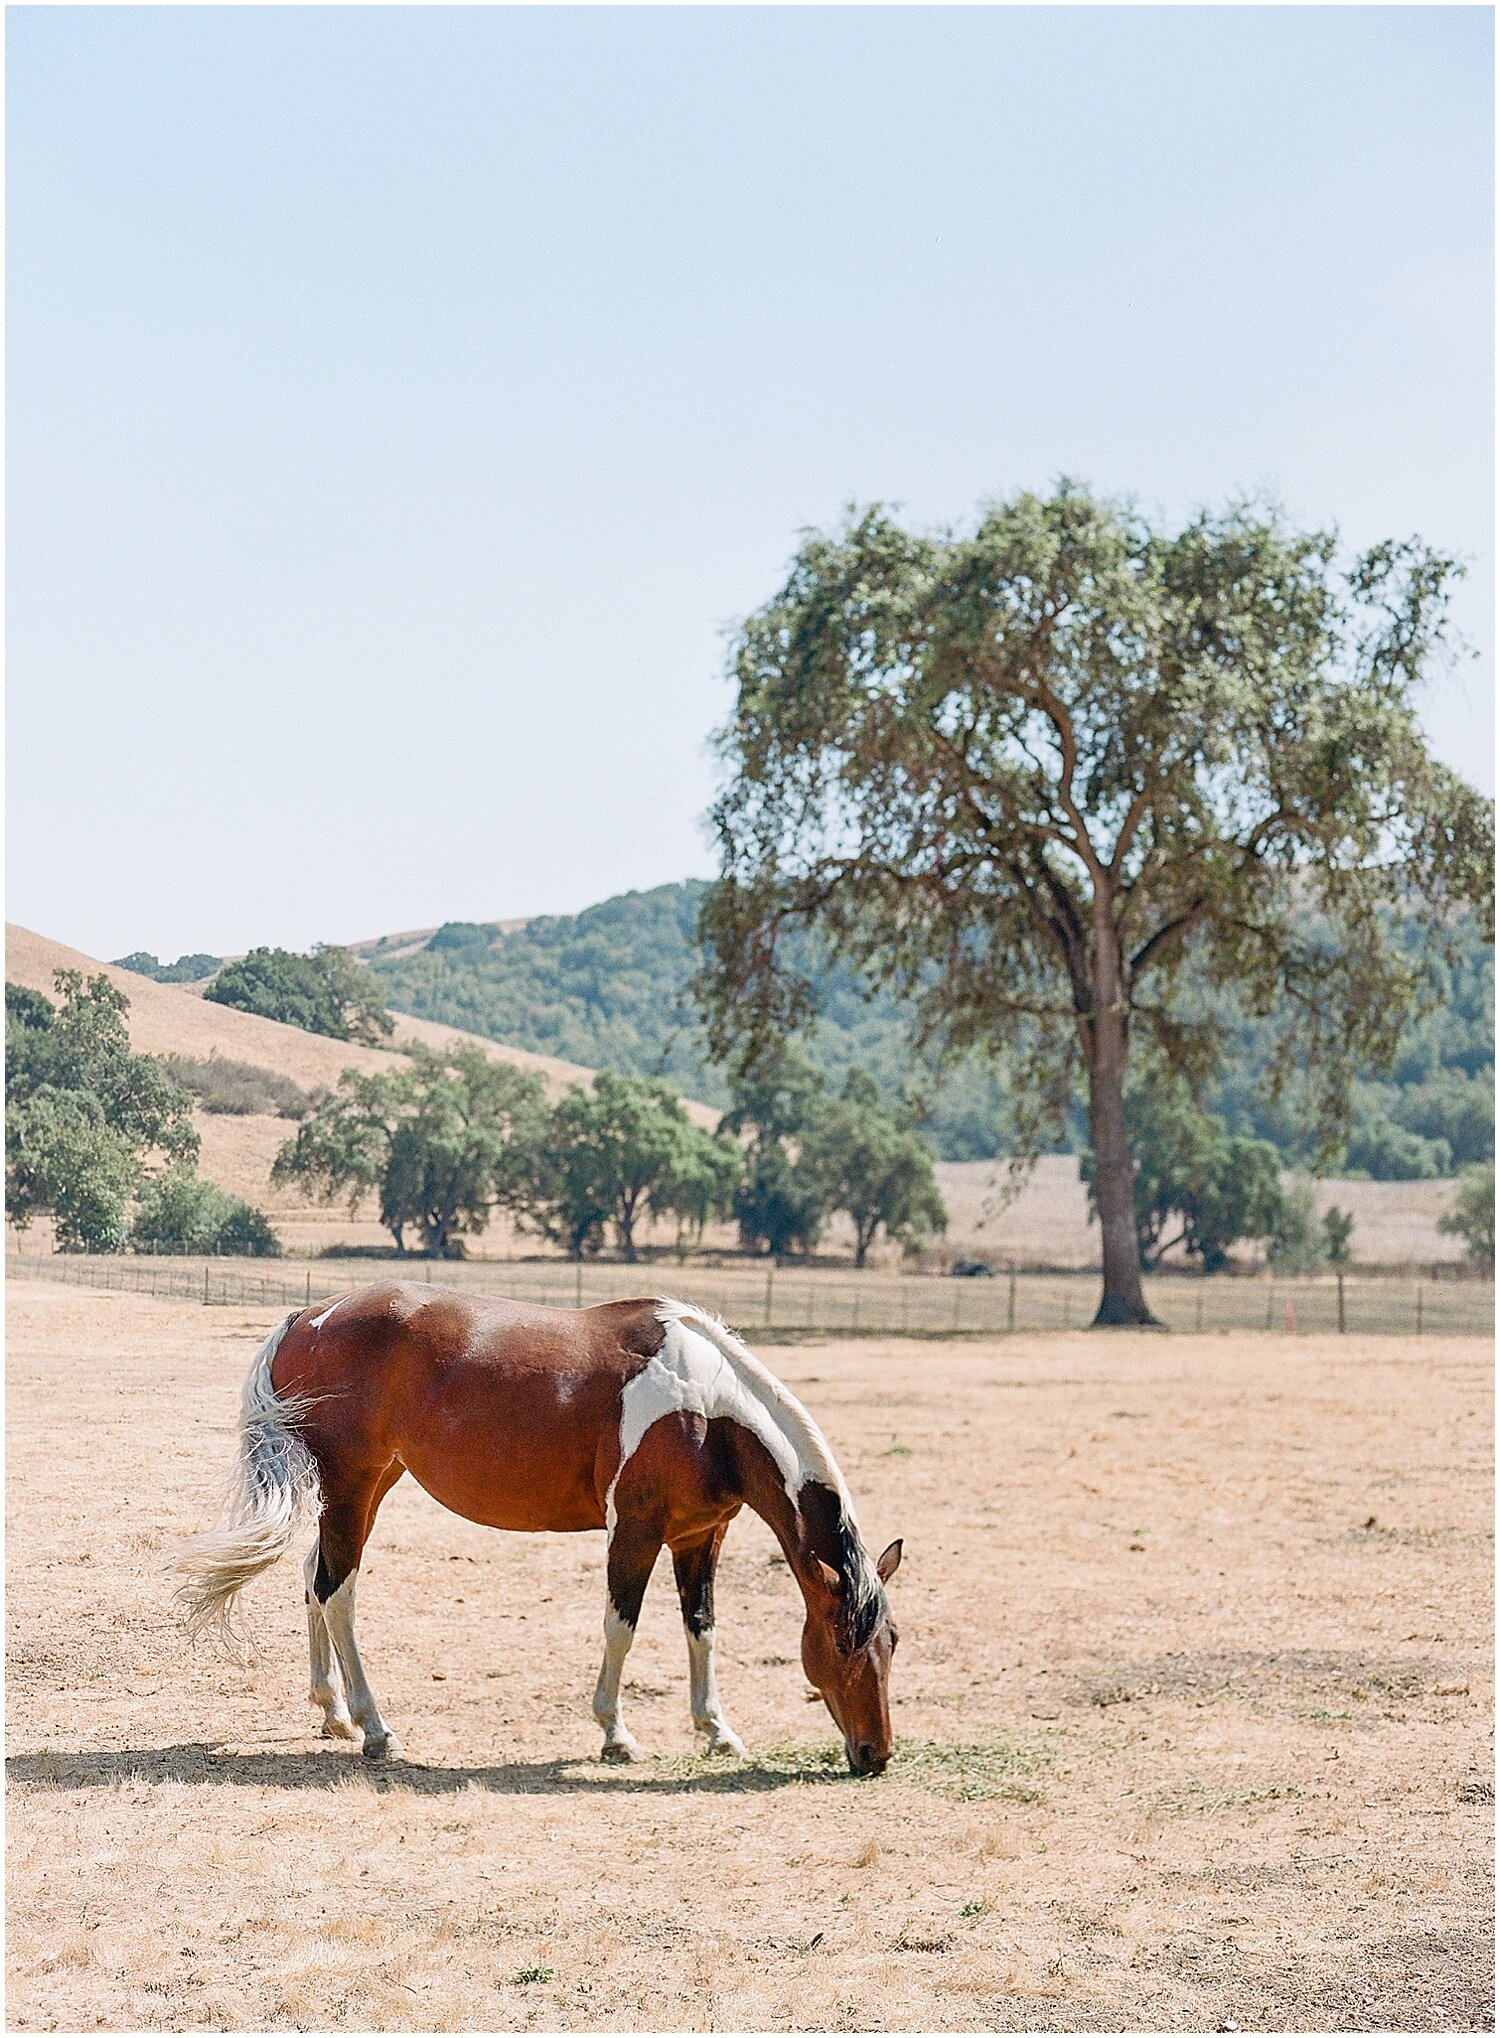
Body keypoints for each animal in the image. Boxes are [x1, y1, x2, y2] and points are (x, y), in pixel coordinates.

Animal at [175, 1288, 900, 1768]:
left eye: (891, 1643)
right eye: (840, 1643)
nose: (875, 1753)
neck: (707, 1408)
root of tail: (307, 1316)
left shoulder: (700, 1536)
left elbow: (702, 1629)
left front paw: (716, 1729)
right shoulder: (635, 1531)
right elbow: (622, 1626)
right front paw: (615, 1733)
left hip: (370, 1486)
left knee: (314, 1578)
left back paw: (332, 1713)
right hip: (353, 1485)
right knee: (337, 1592)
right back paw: (375, 1728)